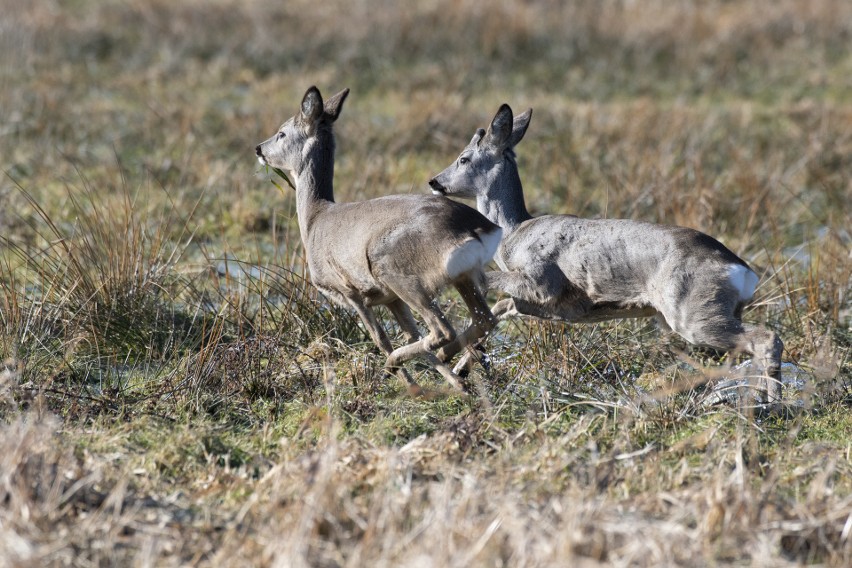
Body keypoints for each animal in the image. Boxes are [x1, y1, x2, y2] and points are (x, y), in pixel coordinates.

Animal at [256, 86, 502, 392]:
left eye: (282, 132)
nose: (259, 148)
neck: (315, 220)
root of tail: (477, 228)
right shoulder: (389, 299)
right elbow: (410, 333)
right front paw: (456, 385)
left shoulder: (350, 289)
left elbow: (381, 338)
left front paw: (411, 386)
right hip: (461, 276)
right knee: (483, 318)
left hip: (396, 270)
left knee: (441, 329)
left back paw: (398, 363)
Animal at [430, 102, 784, 404]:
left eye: (464, 158)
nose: (434, 181)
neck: (515, 233)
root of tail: (743, 272)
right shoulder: (553, 305)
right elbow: (502, 307)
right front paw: (459, 364)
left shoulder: (544, 282)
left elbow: (493, 286)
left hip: (693, 312)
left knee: (766, 338)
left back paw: (772, 404)